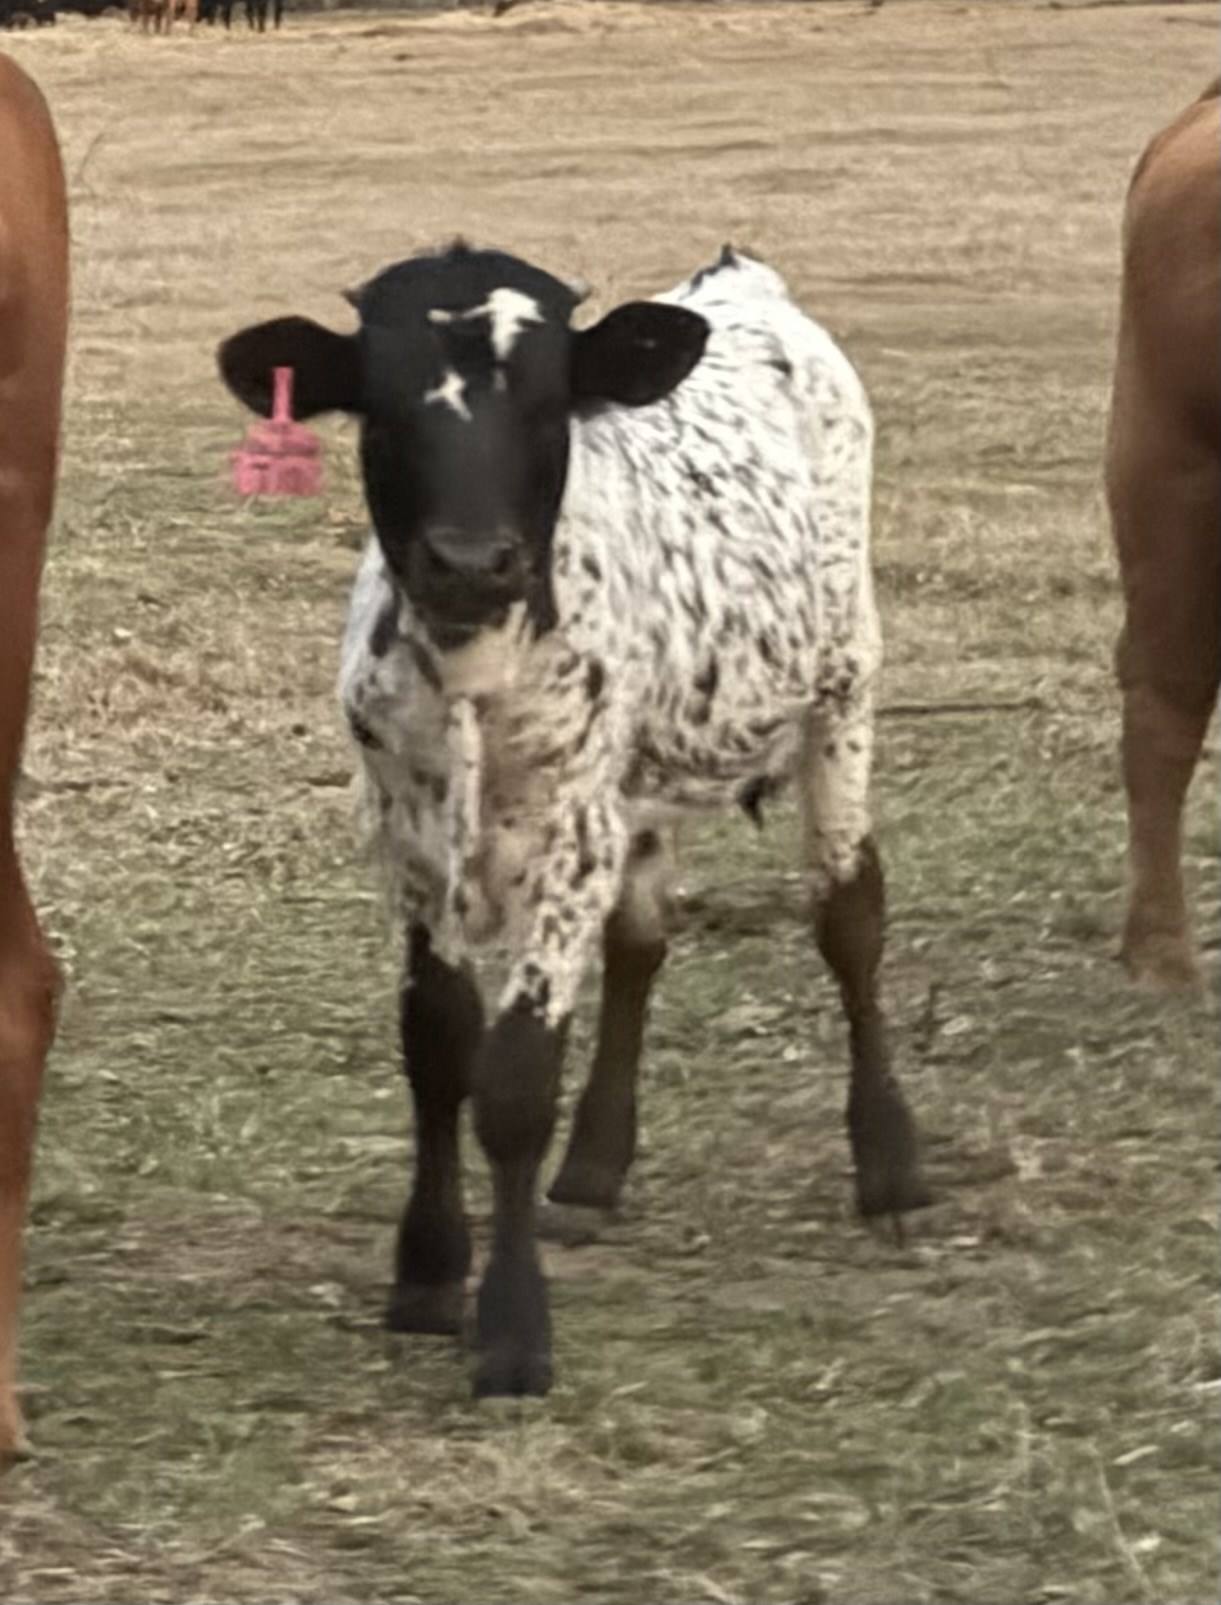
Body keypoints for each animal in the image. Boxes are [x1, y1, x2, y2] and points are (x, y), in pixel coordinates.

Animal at [217, 242, 930, 1397]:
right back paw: (593, 1171)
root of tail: (740, 282)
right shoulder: (407, 832)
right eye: (378, 402)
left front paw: (513, 1327)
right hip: (632, 783)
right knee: (642, 939)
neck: (475, 665)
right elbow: (436, 1044)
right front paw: (427, 1271)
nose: (470, 560)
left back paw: (893, 1167)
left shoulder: (565, 832)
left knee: (849, 914)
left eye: (551, 403)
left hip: (841, 687)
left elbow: (513, 1076)